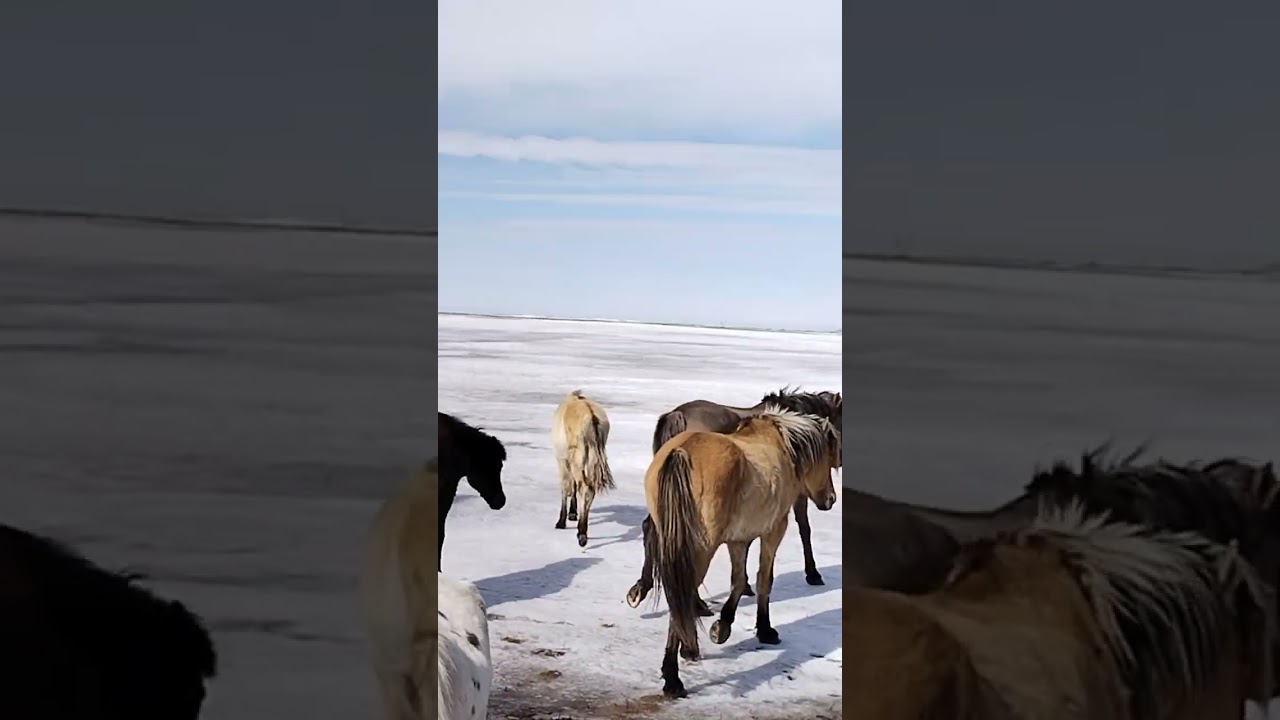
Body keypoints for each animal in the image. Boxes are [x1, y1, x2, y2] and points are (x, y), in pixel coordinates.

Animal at [551, 389, 615, 547]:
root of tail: (593, 418)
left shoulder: (562, 460)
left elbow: (566, 486)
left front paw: (562, 520)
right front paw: (573, 513)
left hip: (577, 458)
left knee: (584, 488)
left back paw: (581, 534)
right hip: (592, 459)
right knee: (589, 489)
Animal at [627, 387, 842, 612]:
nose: (831, 498)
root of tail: (677, 415)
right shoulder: (793, 497)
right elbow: (804, 529)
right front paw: (813, 573)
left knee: (651, 529)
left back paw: (642, 588)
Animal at [646, 405, 841, 699]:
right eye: (827, 459)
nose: (831, 499)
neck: (780, 446)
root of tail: (681, 452)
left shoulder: (738, 540)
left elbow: (739, 581)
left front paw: (723, 626)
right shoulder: (774, 530)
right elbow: (763, 580)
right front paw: (765, 630)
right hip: (700, 550)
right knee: (681, 598)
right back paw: (674, 678)